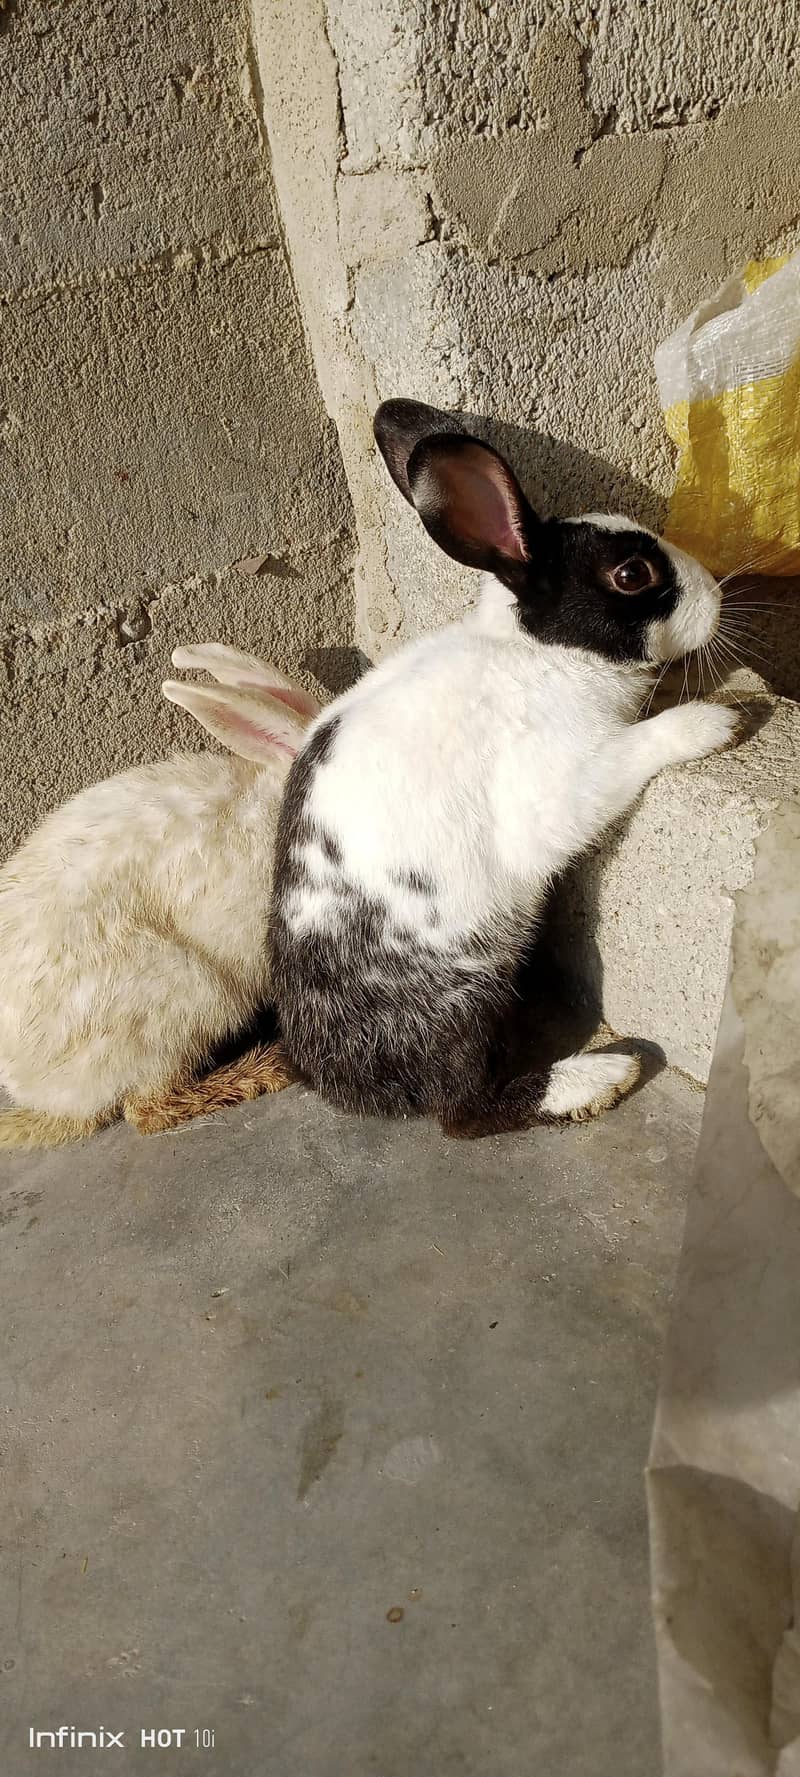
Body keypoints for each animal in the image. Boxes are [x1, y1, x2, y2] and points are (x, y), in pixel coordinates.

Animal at [269, 398, 741, 1138]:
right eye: (632, 575)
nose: (716, 596)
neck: (542, 650)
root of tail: (339, 1080)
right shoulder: (564, 780)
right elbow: (635, 750)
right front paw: (716, 721)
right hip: (466, 987)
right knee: (464, 1110)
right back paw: (599, 1076)